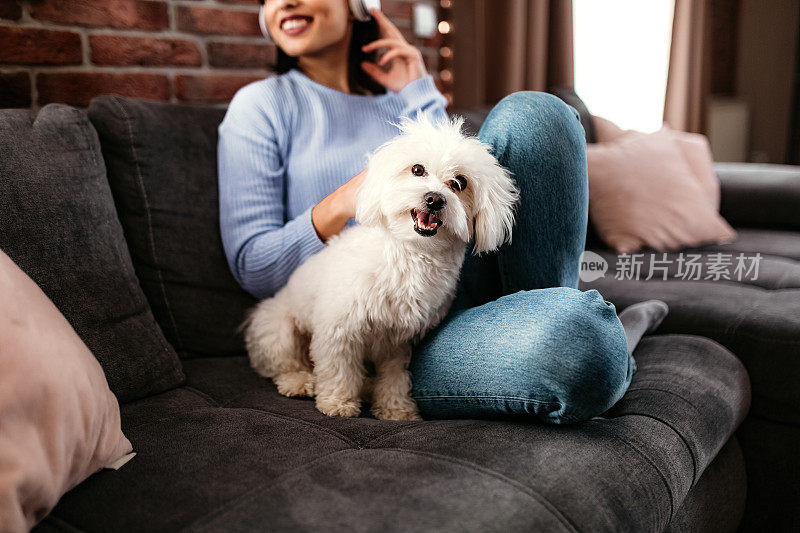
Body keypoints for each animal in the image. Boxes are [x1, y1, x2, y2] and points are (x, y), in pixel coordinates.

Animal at [238, 112, 520, 420]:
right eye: (417, 169)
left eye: (459, 183)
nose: (434, 199)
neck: (411, 254)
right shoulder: (339, 329)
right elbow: (339, 369)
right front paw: (338, 402)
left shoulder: (397, 340)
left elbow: (394, 377)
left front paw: (395, 409)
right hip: (278, 329)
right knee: (284, 364)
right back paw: (298, 382)